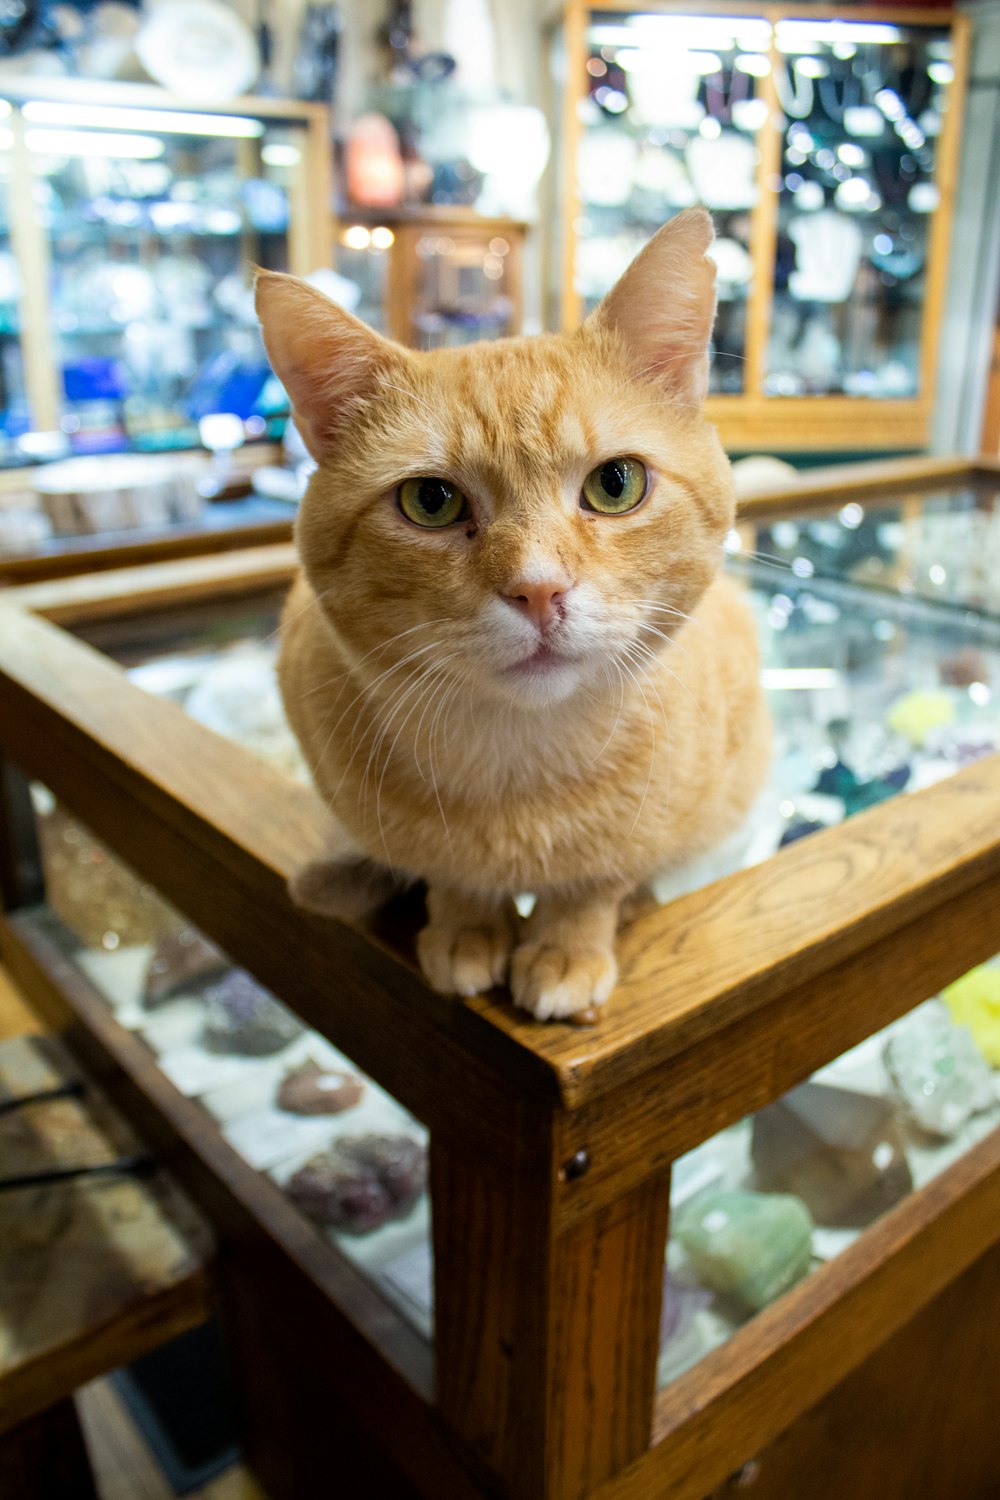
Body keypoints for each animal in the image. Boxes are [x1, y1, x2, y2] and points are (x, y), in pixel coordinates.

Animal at [254, 211, 773, 1026]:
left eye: (616, 484)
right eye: (430, 502)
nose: (538, 590)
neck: (518, 771)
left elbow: (595, 883)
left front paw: (567, 944)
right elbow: (449, 875)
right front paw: (465, 925)